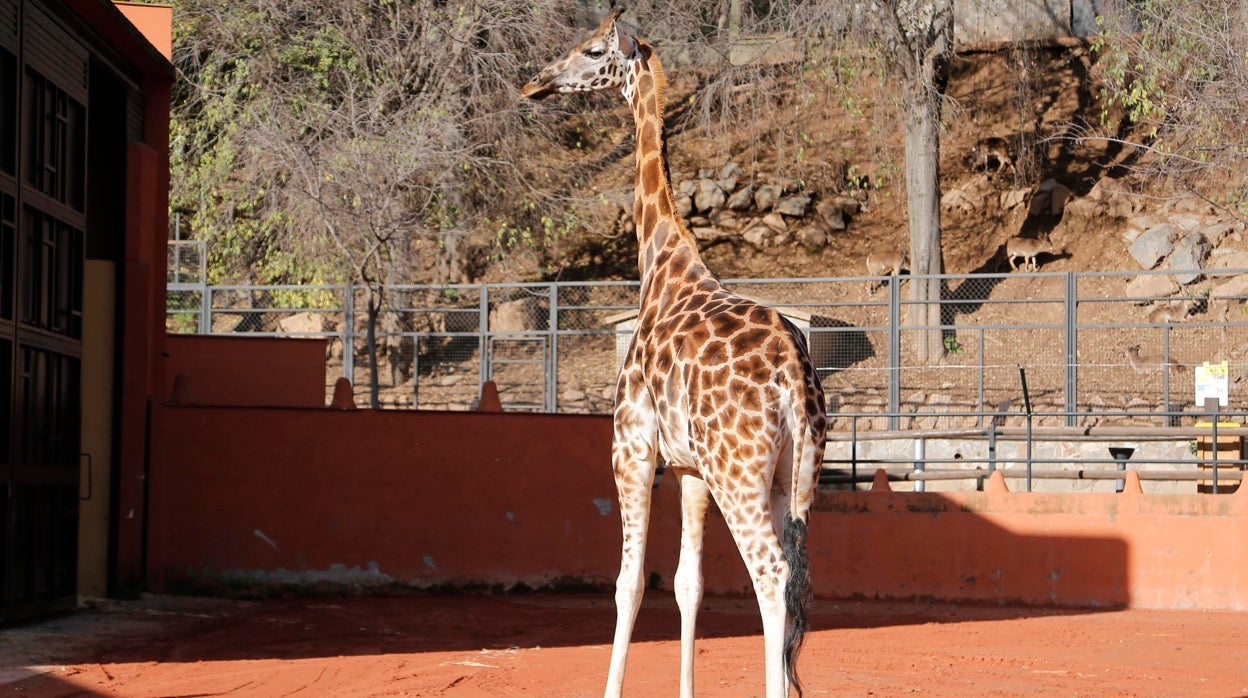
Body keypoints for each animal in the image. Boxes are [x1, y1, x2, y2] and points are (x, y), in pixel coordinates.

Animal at [526, 6, 828, 698]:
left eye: (592, 50)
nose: (537, 84)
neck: (661, 267)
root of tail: (794, 377)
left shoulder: (632, 447)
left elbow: (629, 583)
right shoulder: (689, 469)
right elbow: (689, 584)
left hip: (738, 472)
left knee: (771, 575)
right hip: (795, 474)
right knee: (797, 579)